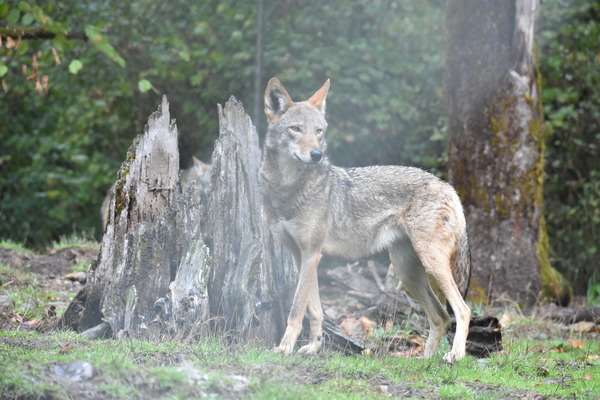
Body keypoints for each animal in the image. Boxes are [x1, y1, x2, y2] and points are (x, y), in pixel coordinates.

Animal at [259, 78, 472, 363]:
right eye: (296, 129)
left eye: (318, 131)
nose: (316, 154)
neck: (287, 189)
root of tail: (448, 187)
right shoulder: (302, 256)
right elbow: (314, 309)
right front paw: (314, 347)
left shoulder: (312, 254)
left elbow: (295, 311)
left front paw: (284, 348)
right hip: (407, 274)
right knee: (441, 315)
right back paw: (424, 360)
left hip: (432, 264)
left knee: (461, 309)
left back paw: (455, 355)